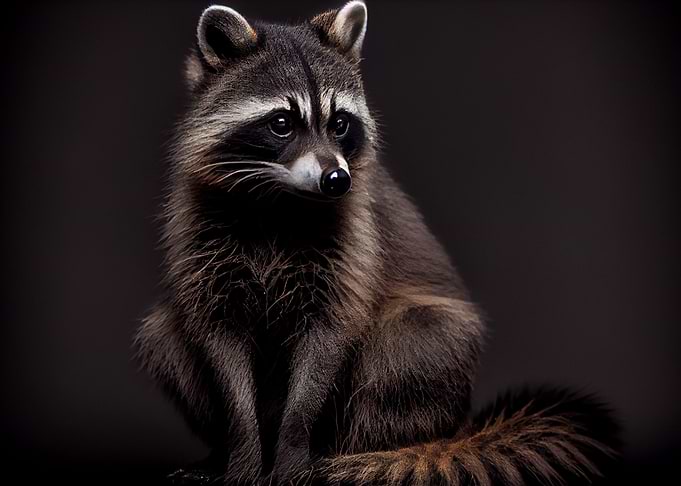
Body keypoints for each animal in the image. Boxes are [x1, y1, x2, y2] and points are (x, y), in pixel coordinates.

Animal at [136, 2, 619, 485]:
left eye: (339, 123)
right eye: (281, 124)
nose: (336, 179)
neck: (279, 201)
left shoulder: (352, 244)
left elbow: (328, 341)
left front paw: (292, 454)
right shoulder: (201, 239)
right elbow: (217, 341)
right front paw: (241, 457)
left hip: (424, 356)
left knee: (406, 344)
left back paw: (363, 453)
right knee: (164, 334)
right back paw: (218, 454)